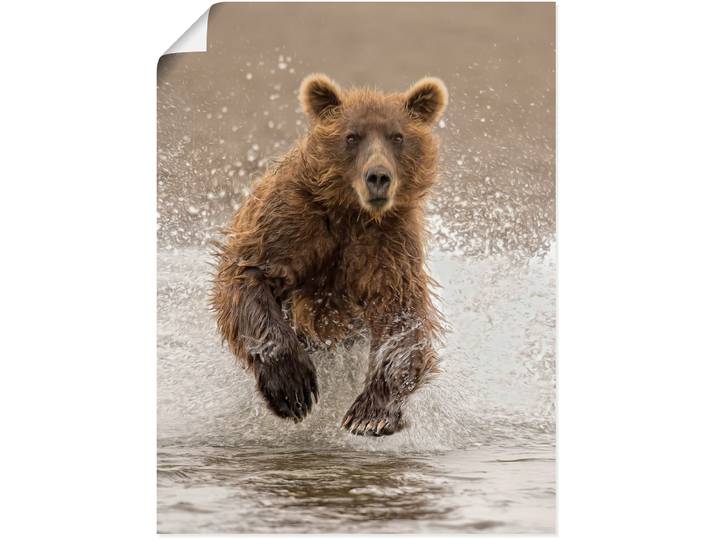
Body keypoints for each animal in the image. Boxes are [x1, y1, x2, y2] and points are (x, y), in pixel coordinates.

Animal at [212, 74, 448, 436]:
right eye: (351, 136)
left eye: (397, 136)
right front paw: (293, 388)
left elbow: (401, 313)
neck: (351, 213)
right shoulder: (291, 221)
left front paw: (370, 415)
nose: (378, 177)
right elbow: (249, 274)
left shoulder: (388, 243)